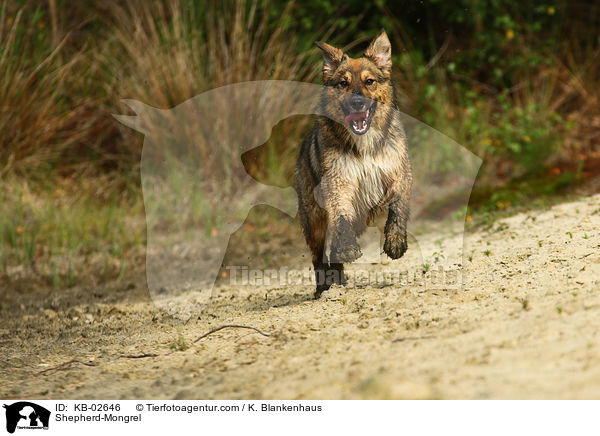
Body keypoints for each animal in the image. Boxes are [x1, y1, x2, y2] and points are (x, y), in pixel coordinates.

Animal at [294, 29, 412, 296]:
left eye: (370, 81)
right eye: (343, 83)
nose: (357, 103)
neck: (364, 145)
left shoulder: (399, 173)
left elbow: (398, 206)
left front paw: (396, 241)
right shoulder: (339, 182)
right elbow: (341, 217)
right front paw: (348, 248)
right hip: (314, 220)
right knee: (320, 256)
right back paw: (324, 288)